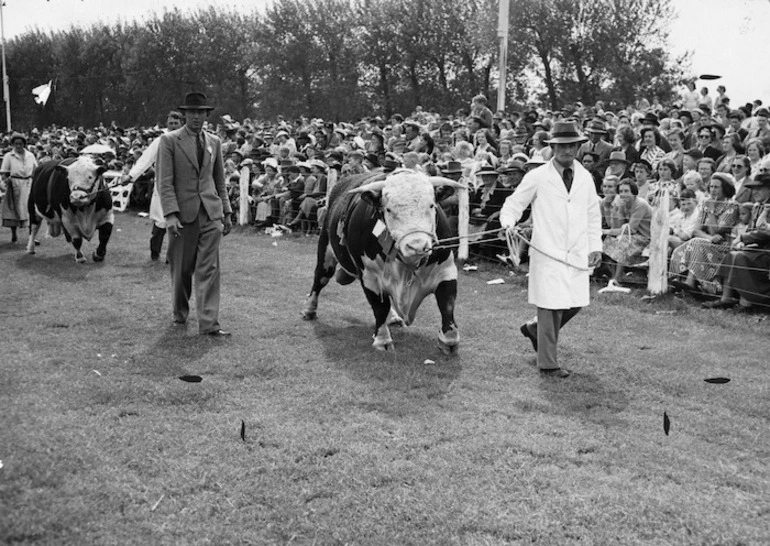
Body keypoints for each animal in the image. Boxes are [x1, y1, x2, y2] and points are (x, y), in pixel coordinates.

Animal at [304, 170, 464, 352]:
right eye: (388, 209)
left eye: (431, 205)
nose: (416, 246)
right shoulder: (369, 276)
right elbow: (379, 307)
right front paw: (382, 339)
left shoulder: (446, 269)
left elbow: (447, 303)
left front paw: (449, 340)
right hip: (325, 252)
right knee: (319, 279)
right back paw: (309, 309)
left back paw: (393, 317)